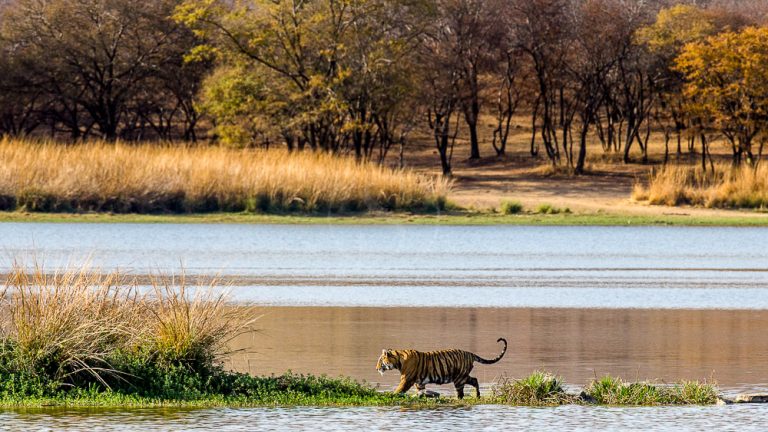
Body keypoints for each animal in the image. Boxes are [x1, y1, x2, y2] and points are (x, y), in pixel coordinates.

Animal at [375, 337, 507, 399]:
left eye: (380, 361)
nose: (376, 368)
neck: (398, 360)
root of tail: (470, 353)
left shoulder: (406, 379)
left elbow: (399, 390)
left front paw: (391, 395)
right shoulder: (419, 382)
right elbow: (421, 391)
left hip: (459, 378)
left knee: (461, 393)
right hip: (463, 376)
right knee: (474, 380)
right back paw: (478, 396)